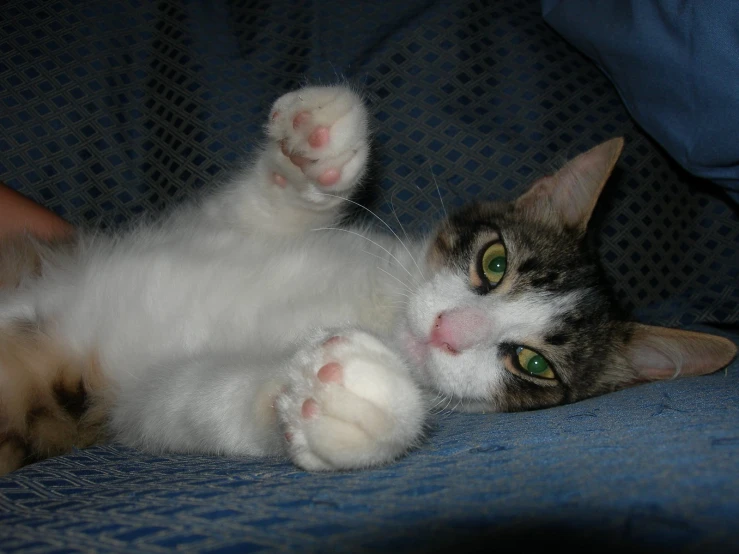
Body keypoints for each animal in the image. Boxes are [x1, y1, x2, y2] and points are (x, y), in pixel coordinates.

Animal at [0, 84, 736, 472]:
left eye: (531, 362)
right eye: (493, 264)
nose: (447, 330)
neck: (375, 304)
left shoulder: (120, 397)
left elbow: (192, 403)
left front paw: (332, 400)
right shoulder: (210, 229)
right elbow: (253, 207)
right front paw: (318, 146)